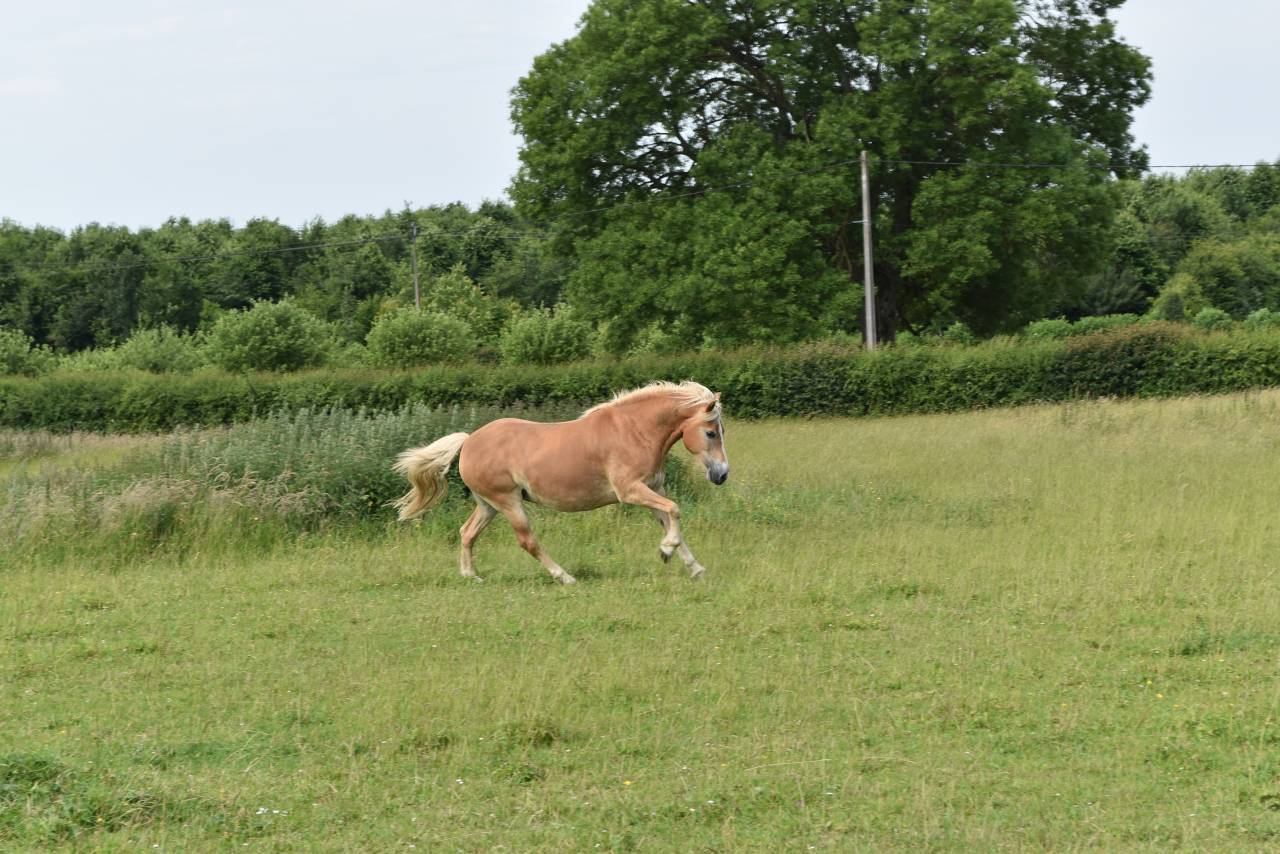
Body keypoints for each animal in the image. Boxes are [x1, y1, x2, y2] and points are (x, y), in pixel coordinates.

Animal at [392, 381, 729, 584]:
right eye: (711, 432)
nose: (722, 474)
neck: (634, 431)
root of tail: (469, 441)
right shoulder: (631, 490)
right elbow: (674, 510)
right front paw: (666, 550)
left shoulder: (652, 489)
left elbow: (671, 519)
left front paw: (692, 566)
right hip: (508, 502)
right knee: (527, 541)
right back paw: (564, 577)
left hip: (488, 505)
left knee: (467, 532)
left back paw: (471, 575)